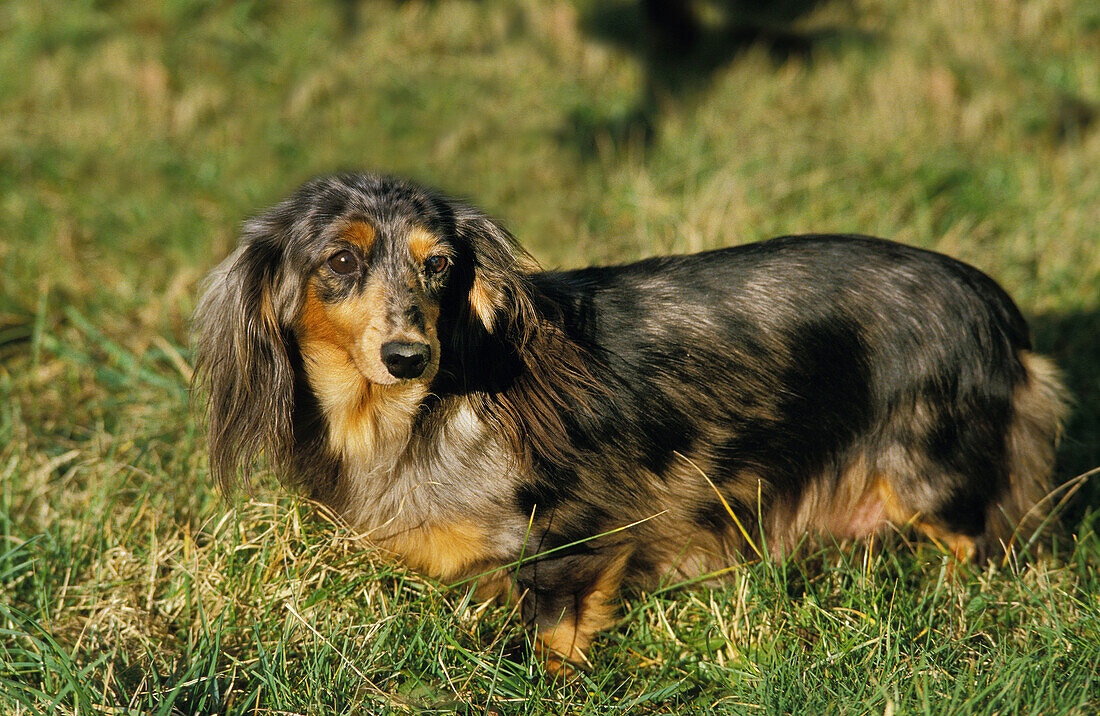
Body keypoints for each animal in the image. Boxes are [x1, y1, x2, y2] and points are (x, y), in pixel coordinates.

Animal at [193, 172, 1069, 673]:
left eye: (438, 265)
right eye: (340, 262)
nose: (411, 356)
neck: (413, 418)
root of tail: (995, 307)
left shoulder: (574, 532)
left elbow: (555, 632)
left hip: (928, 475)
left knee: (977, 544)